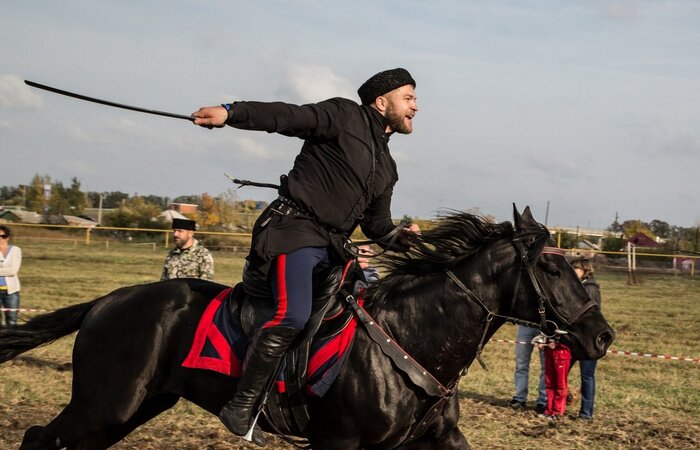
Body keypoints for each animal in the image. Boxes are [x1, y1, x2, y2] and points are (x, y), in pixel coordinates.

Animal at [0, 207, 612, 446]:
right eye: (553, 268)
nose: (602, 336)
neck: (412, 336)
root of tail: (107, 302)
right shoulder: (338, 441)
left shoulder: (436, 438)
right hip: (105, 403)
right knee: (38, 438)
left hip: (131, 408)